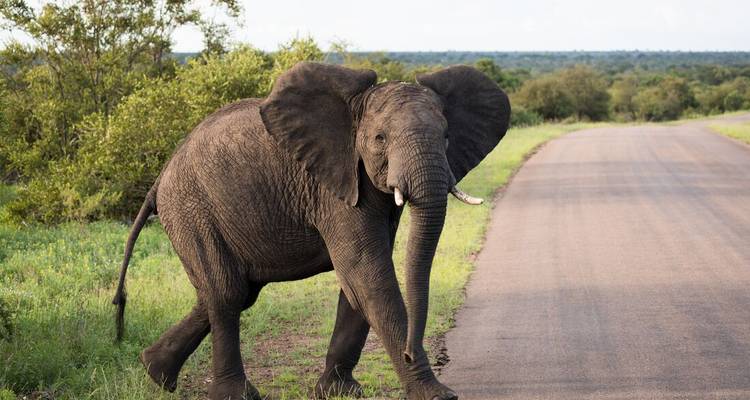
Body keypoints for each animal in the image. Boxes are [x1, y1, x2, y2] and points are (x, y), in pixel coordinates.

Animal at [112, 61, 510, 400]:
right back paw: (233, 395)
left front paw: (339, 392)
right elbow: (368, 273)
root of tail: (159, 178)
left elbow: (356, 282)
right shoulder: (333, 186)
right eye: (380, 139)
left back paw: (155, 372)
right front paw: (436, 394)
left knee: (231, 291)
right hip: (192, 208)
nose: (413, 353)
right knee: (226, 293)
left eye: (446, 136)